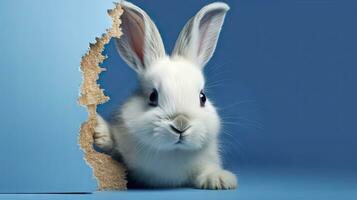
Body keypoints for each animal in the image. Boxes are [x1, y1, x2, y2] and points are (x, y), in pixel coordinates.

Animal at [94, 1, 236, 189]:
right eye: (152, 97)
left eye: (202, 97)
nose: (181, 124)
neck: (172, 152)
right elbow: (112, 144)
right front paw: (99, 130)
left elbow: (207, 169)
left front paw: (220, 180)